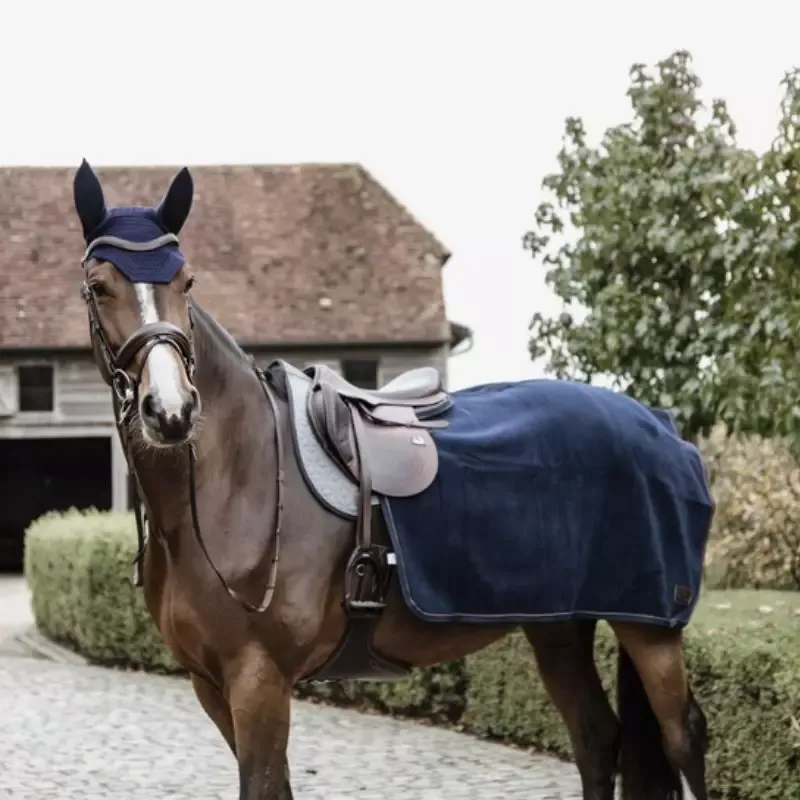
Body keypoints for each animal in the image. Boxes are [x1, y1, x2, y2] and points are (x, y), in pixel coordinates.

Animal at [70, 159, 713, 800]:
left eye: (187, 281)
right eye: (98, 287)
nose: (171, 411)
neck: (233, 483)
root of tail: (663, 426)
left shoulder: (259, 679)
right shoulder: (212, 684)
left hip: (649, 627)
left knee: (684, 737)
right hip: (560, 627)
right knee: (596, 737)